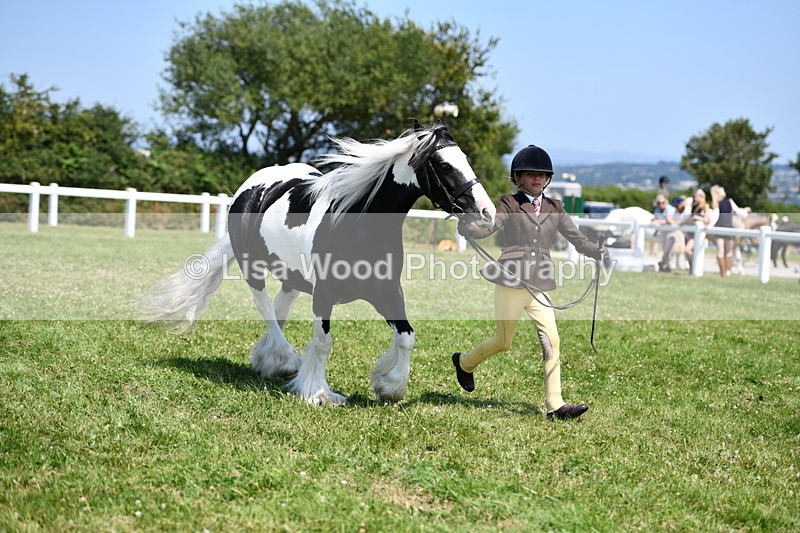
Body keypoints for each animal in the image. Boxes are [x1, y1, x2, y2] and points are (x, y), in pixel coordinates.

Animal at [143, 121, 495, 405]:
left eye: (467, 160)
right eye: (443, 165)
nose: (486, 214)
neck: (358, 225)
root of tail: (251, 186)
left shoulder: (387, 292)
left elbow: (406, 336)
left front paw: (389, 386)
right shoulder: (324, 294)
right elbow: (323, 342)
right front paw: (319, 393)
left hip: (292, 277)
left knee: (279, 308)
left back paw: (266, 359)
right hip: (252, 268)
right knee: (264, 306)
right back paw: (283, 359)